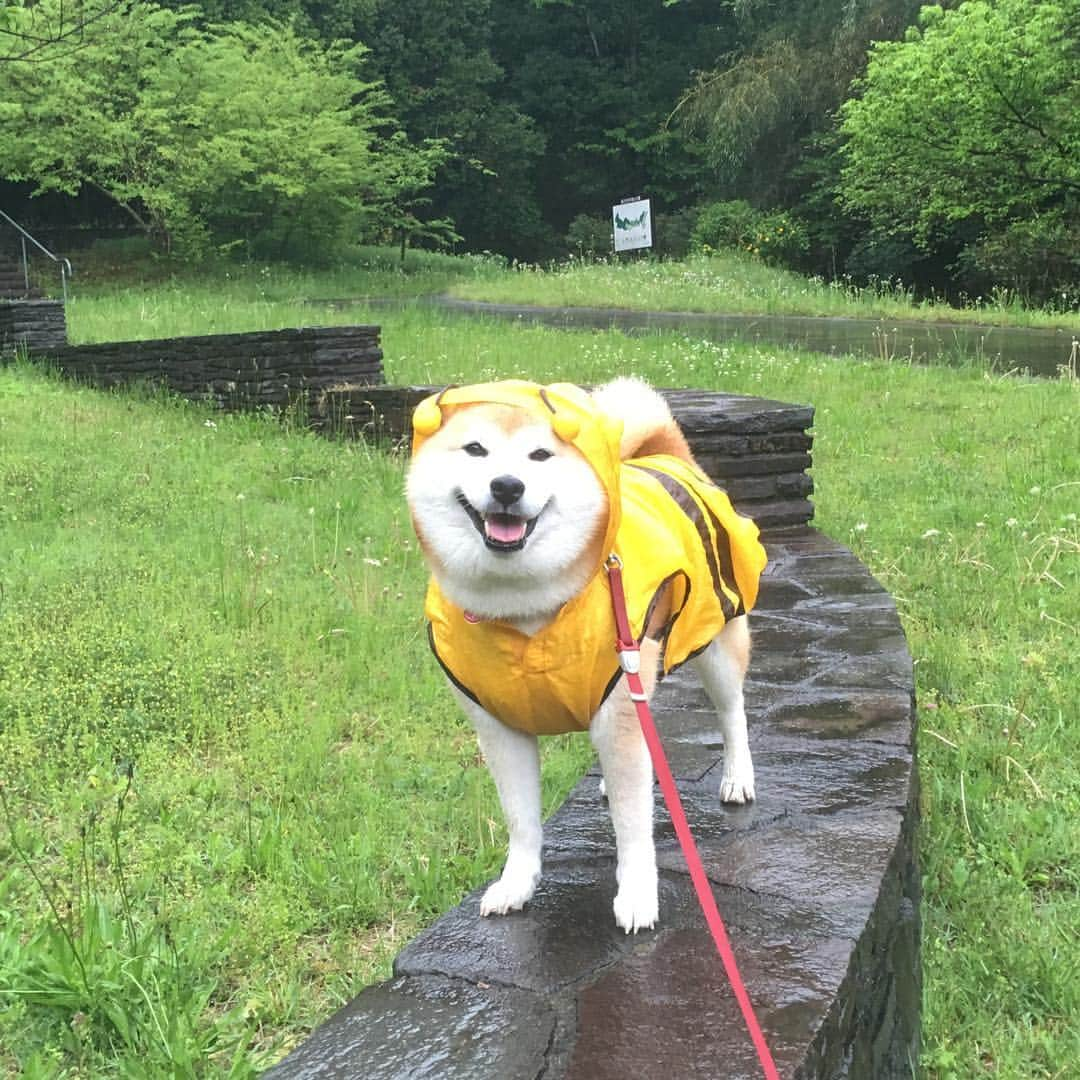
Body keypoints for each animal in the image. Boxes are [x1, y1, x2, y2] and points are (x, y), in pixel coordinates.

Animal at [406, 378, 768, 928]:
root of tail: (667, 453)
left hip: (714, 640)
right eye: (475, 450)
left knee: (732, 714)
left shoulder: (618, 707)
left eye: (539, 455)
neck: (525, 614)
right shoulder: (499, 726)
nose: (507, 486)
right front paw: (517, 883)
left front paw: (638, 894)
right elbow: (521, 820)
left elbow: (633, 826)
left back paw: (737, 776)